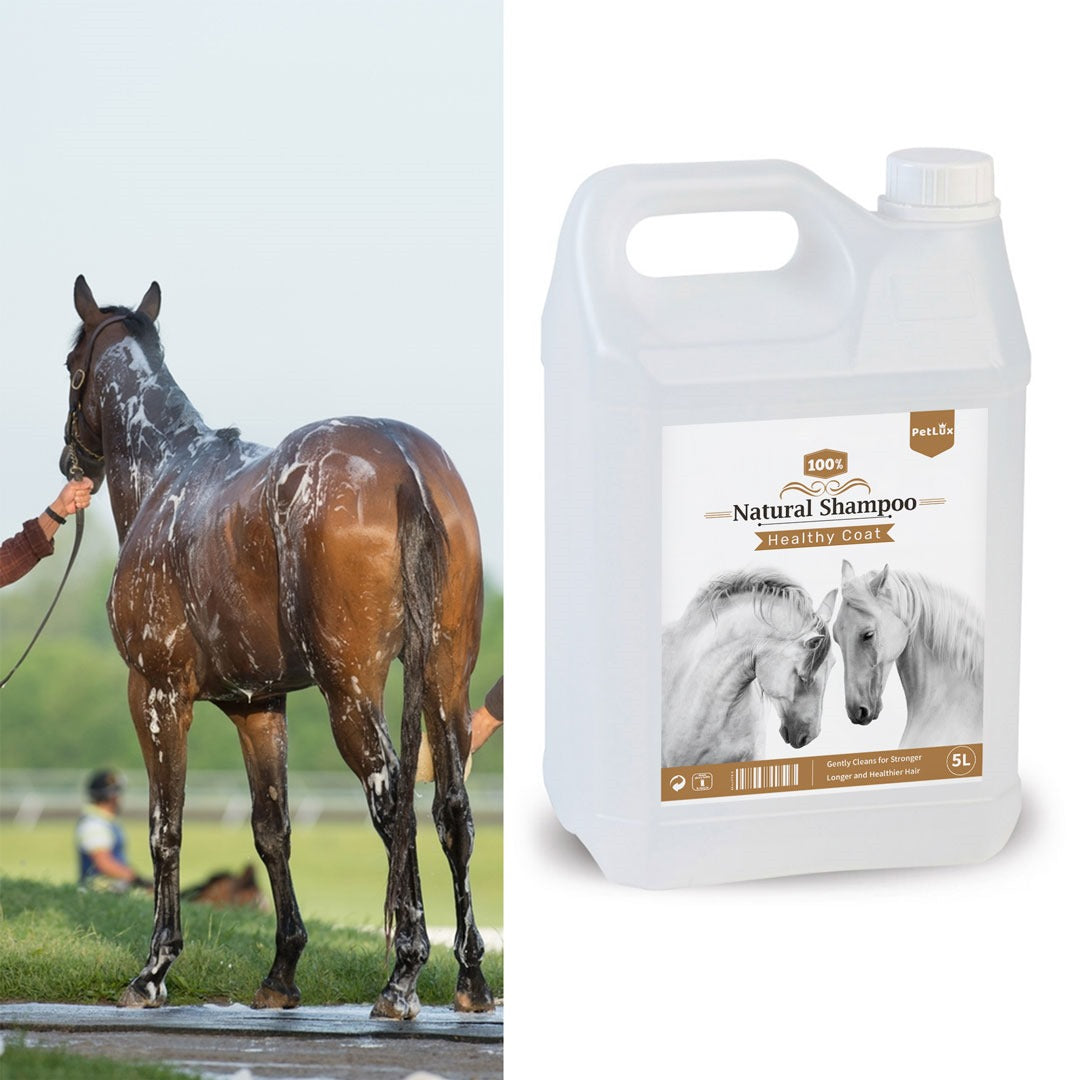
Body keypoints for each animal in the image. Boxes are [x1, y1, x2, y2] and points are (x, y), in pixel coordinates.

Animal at [59, 276, 492, 1020]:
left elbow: (165, 829)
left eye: (69, 365)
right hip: (447, 680)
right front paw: (282, 972)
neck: (168, 474)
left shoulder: (156, 695)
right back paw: (470, 980)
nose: (68, 459)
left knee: (393, 803)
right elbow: (272, 828)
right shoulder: (257, 705)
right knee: (451, 811)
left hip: (352, 691)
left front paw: (153, 971)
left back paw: (403, 975)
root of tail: (404, 463)